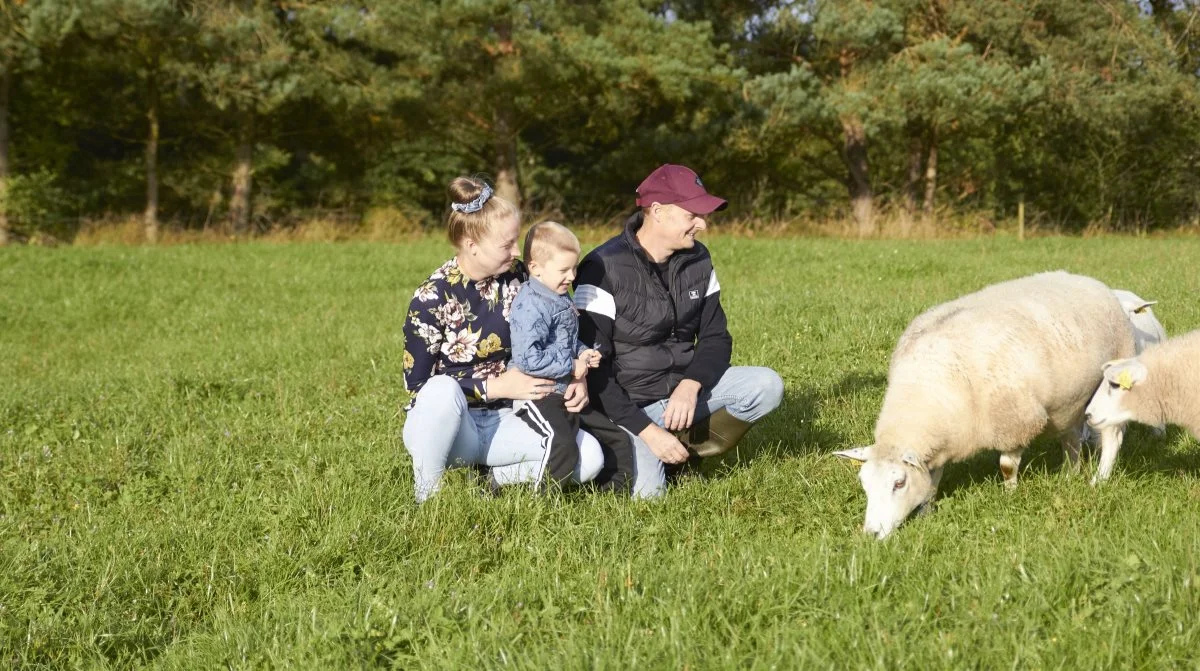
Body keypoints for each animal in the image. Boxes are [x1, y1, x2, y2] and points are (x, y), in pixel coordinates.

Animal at [835, 270, 1132, 537]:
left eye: (899, 483)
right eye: (864, 484)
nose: (871, 534)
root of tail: (1090, 281)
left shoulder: (1015, 421)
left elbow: (1007, 466)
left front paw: (1010, 496)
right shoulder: (943, 438)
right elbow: (932, 478)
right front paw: (926, 511)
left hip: (1110, 384)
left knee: (1111, 437)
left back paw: (1100, 480)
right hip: (1068, 402)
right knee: (1071, 437)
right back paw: (1070, 475)